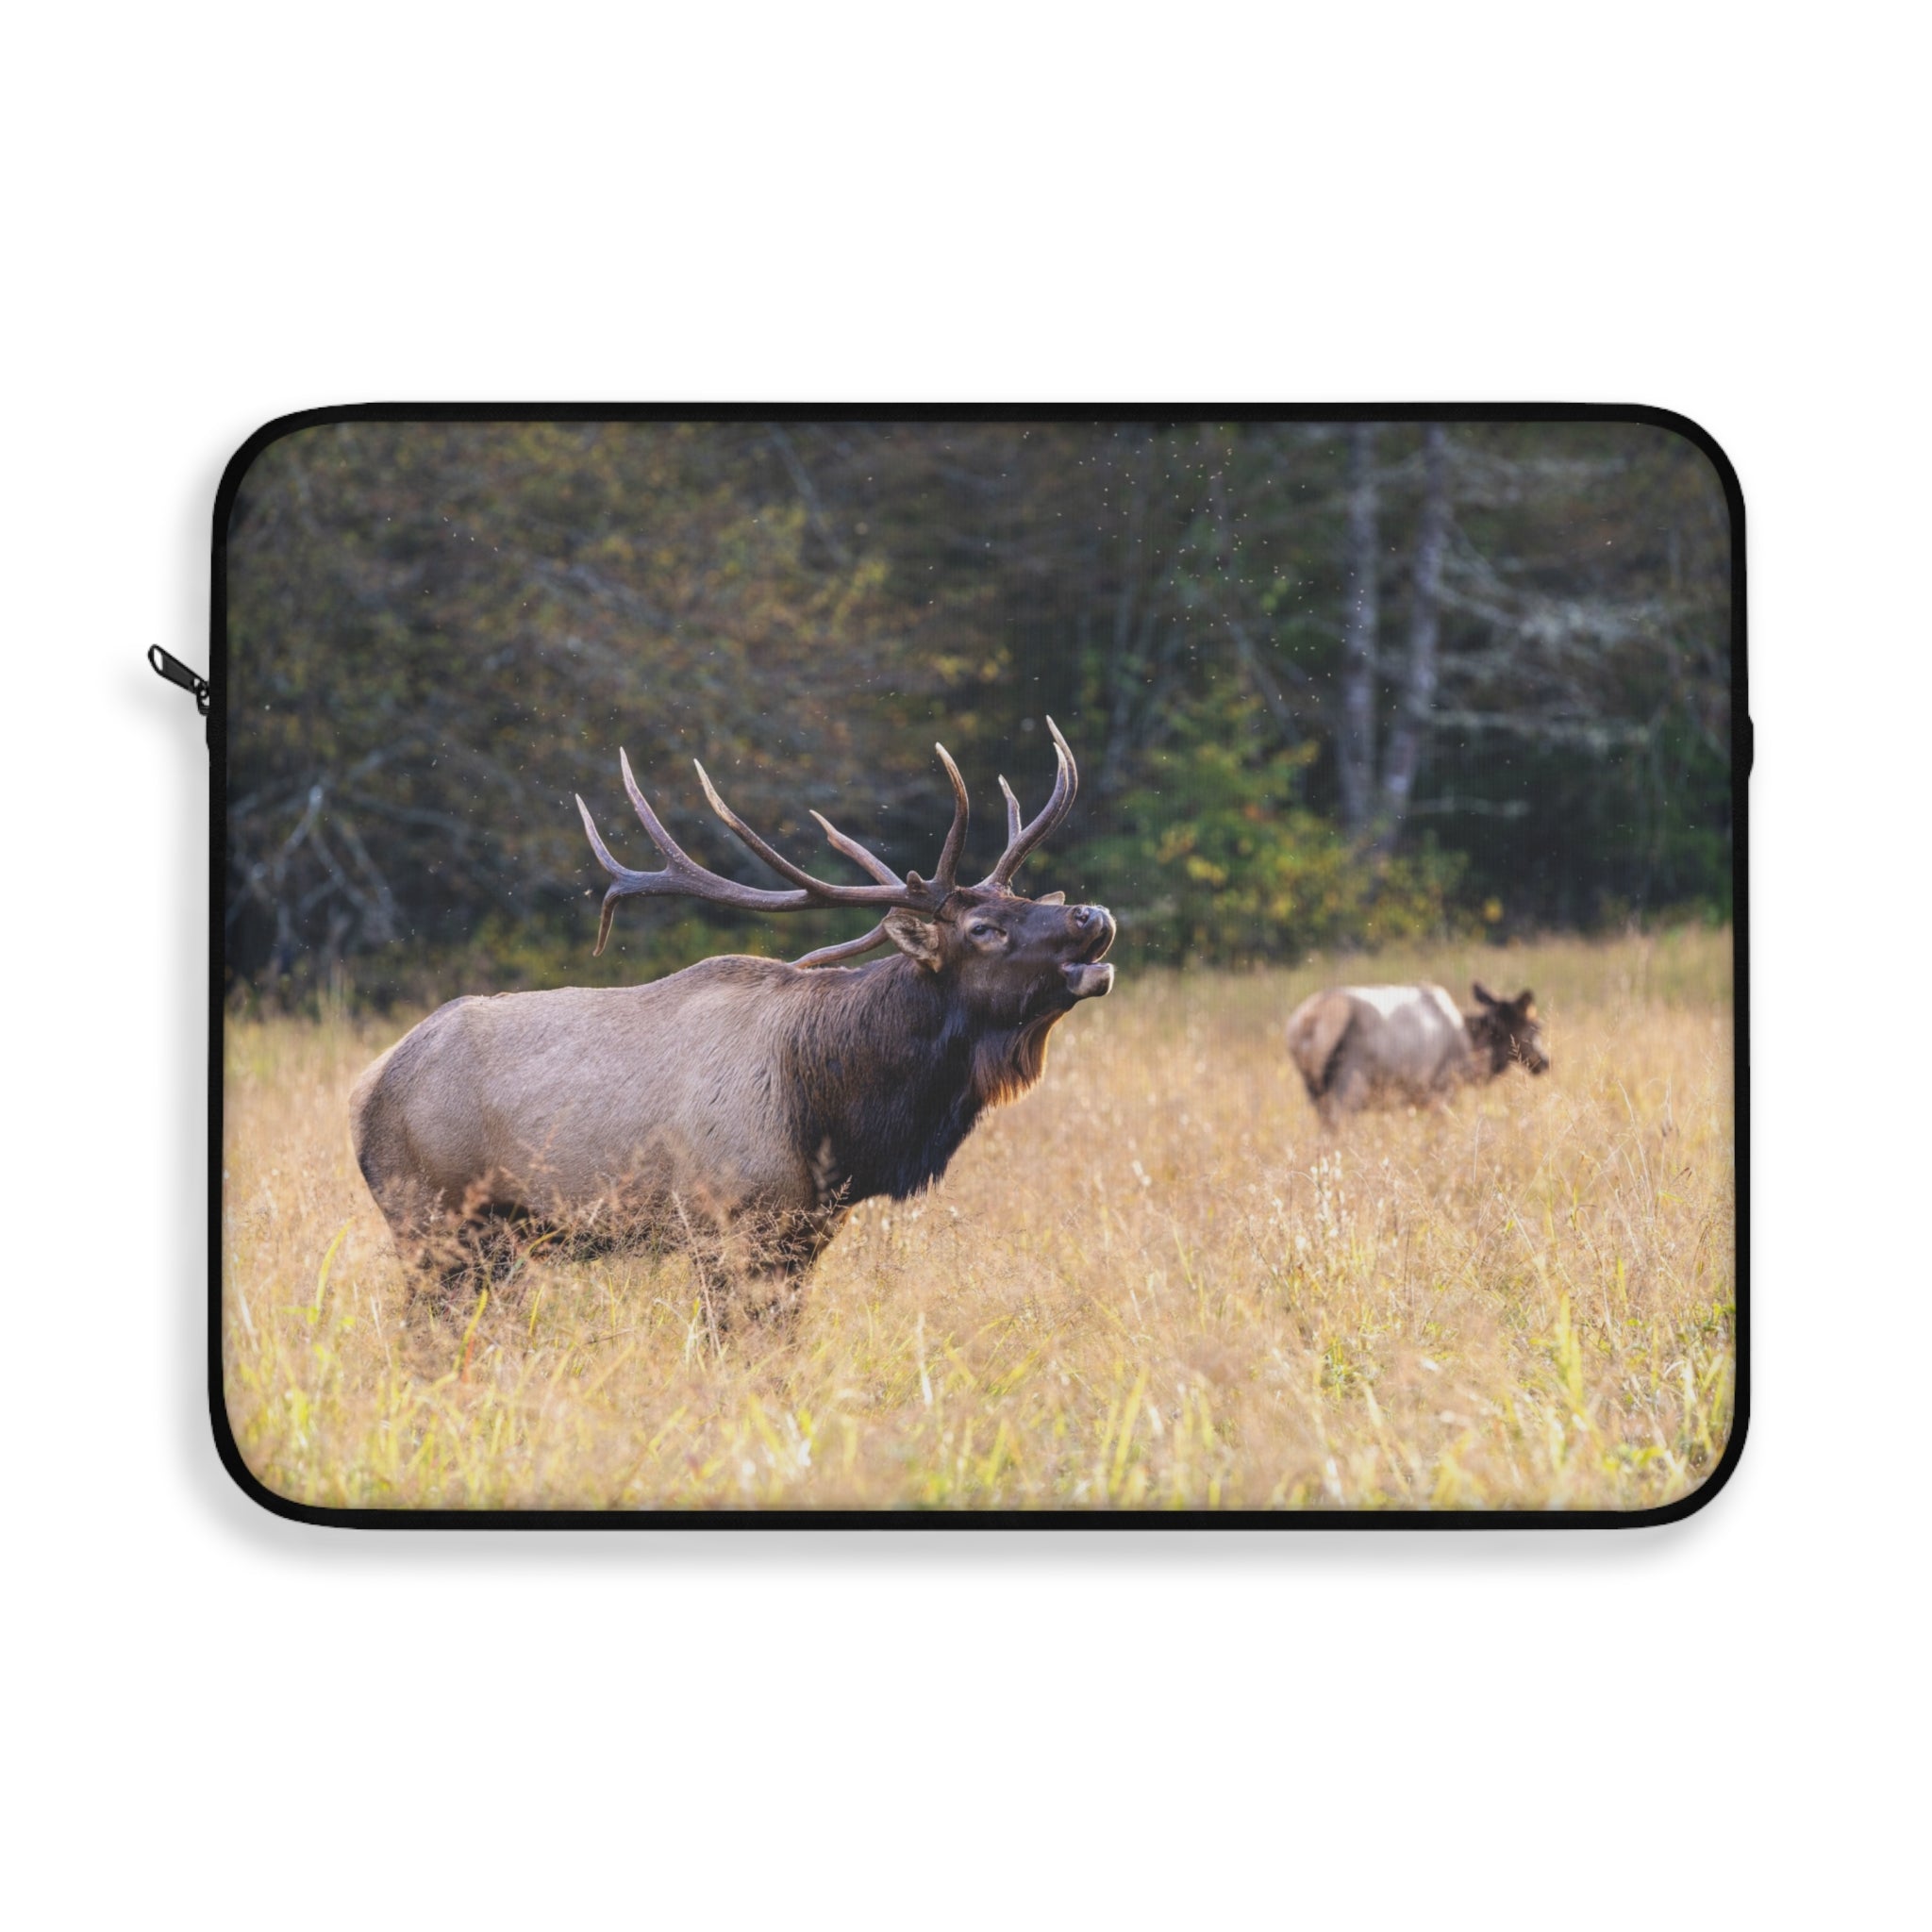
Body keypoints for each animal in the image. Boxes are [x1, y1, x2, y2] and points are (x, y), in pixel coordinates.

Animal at [349, 721, 1115, 1318]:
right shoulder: (725, 1222)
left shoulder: (805, 1233)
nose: (1092, 914)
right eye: (984, 928)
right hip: (433, 1221)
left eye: (1029, 897)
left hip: (490, 1246)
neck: (835, 1111)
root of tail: (365, 1089)